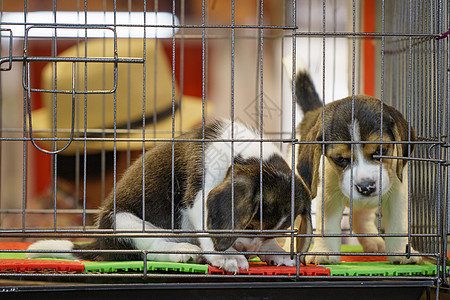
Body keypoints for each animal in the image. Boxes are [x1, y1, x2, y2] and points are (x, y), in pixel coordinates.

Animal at [26, 120, 312, 274]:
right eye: (250, 225)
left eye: (268, 232)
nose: (248, 251)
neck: (243, 155)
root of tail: (101, 243)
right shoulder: (198, 196)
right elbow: (207, 230)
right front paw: (226, 256)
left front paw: (275, 250)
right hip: (124, 222)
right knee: (149, 250)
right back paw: (182, 251)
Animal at [286, 71, 424, 264]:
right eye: (340, 159)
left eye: (381, 150)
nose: (366, 187)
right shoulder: (328, 196)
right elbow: (327, 226)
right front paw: (324, 252)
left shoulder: (397, 192)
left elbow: (398, 224)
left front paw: (402, 252)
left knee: (362, 218)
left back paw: (374, 241)